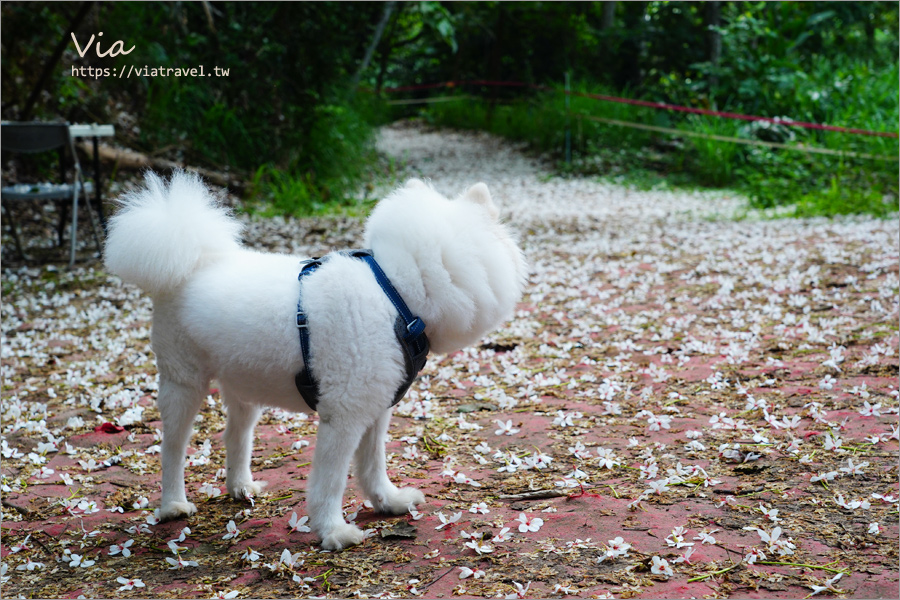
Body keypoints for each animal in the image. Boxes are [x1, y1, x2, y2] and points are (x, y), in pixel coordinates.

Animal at [103, 171, 528, 552]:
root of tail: (191, 264)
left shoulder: (374, 410)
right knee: (173, 448)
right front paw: (332, 531)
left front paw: (387, 502)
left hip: (244, 387)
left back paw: (240, 487)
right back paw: (173, 504)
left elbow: (373, 465)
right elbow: (331, 480)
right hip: (183, 385)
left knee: (235, 437)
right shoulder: (343, 416)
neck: (396, 294)